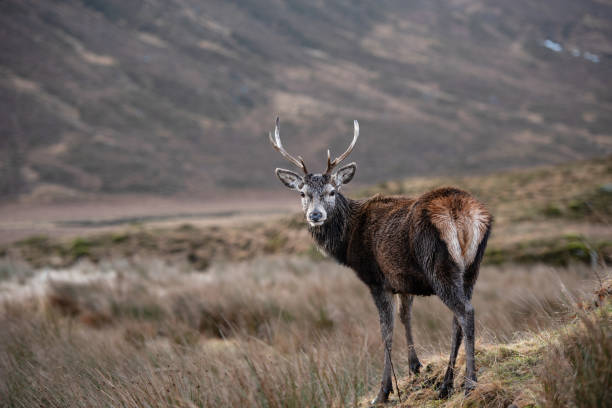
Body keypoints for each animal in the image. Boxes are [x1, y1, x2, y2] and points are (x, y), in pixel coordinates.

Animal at [268, 117, 492, 402]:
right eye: (302, 193)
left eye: (332, 191)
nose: (315, 215)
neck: (348, 240)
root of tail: (461, 213)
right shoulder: (403, 279)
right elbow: (406, 316)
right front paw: (415, 366)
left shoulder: (376, 279)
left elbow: (386, 332)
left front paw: (384, 391)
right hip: (472, 268)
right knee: (458, 319)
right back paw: (446, 385)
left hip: (438, 265)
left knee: (465, 312)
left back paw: (469, 384)